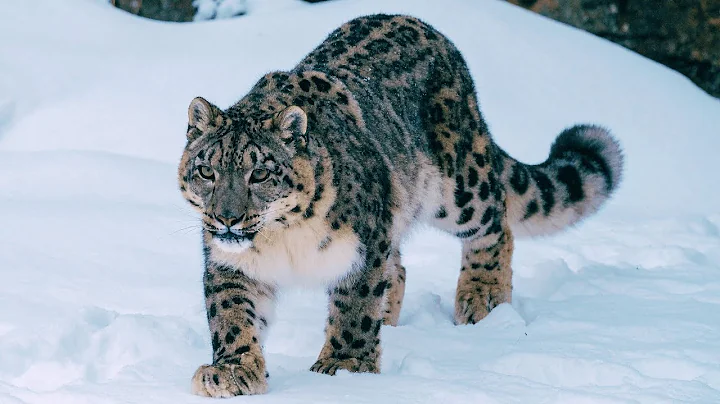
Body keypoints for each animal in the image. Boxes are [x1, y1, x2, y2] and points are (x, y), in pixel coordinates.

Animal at [177, 14, 624, 397]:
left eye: (260, 174)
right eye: (207, 171)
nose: (227, 218)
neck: (282, 239)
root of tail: (428, 29)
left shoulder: (363, 246)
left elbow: (354, 306)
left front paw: (344, 366)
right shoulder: (230, 263)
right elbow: (232, 314)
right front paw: (232, 371)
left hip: (459, 188)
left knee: (495, 224)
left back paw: (482, 301)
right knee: (400, 268)